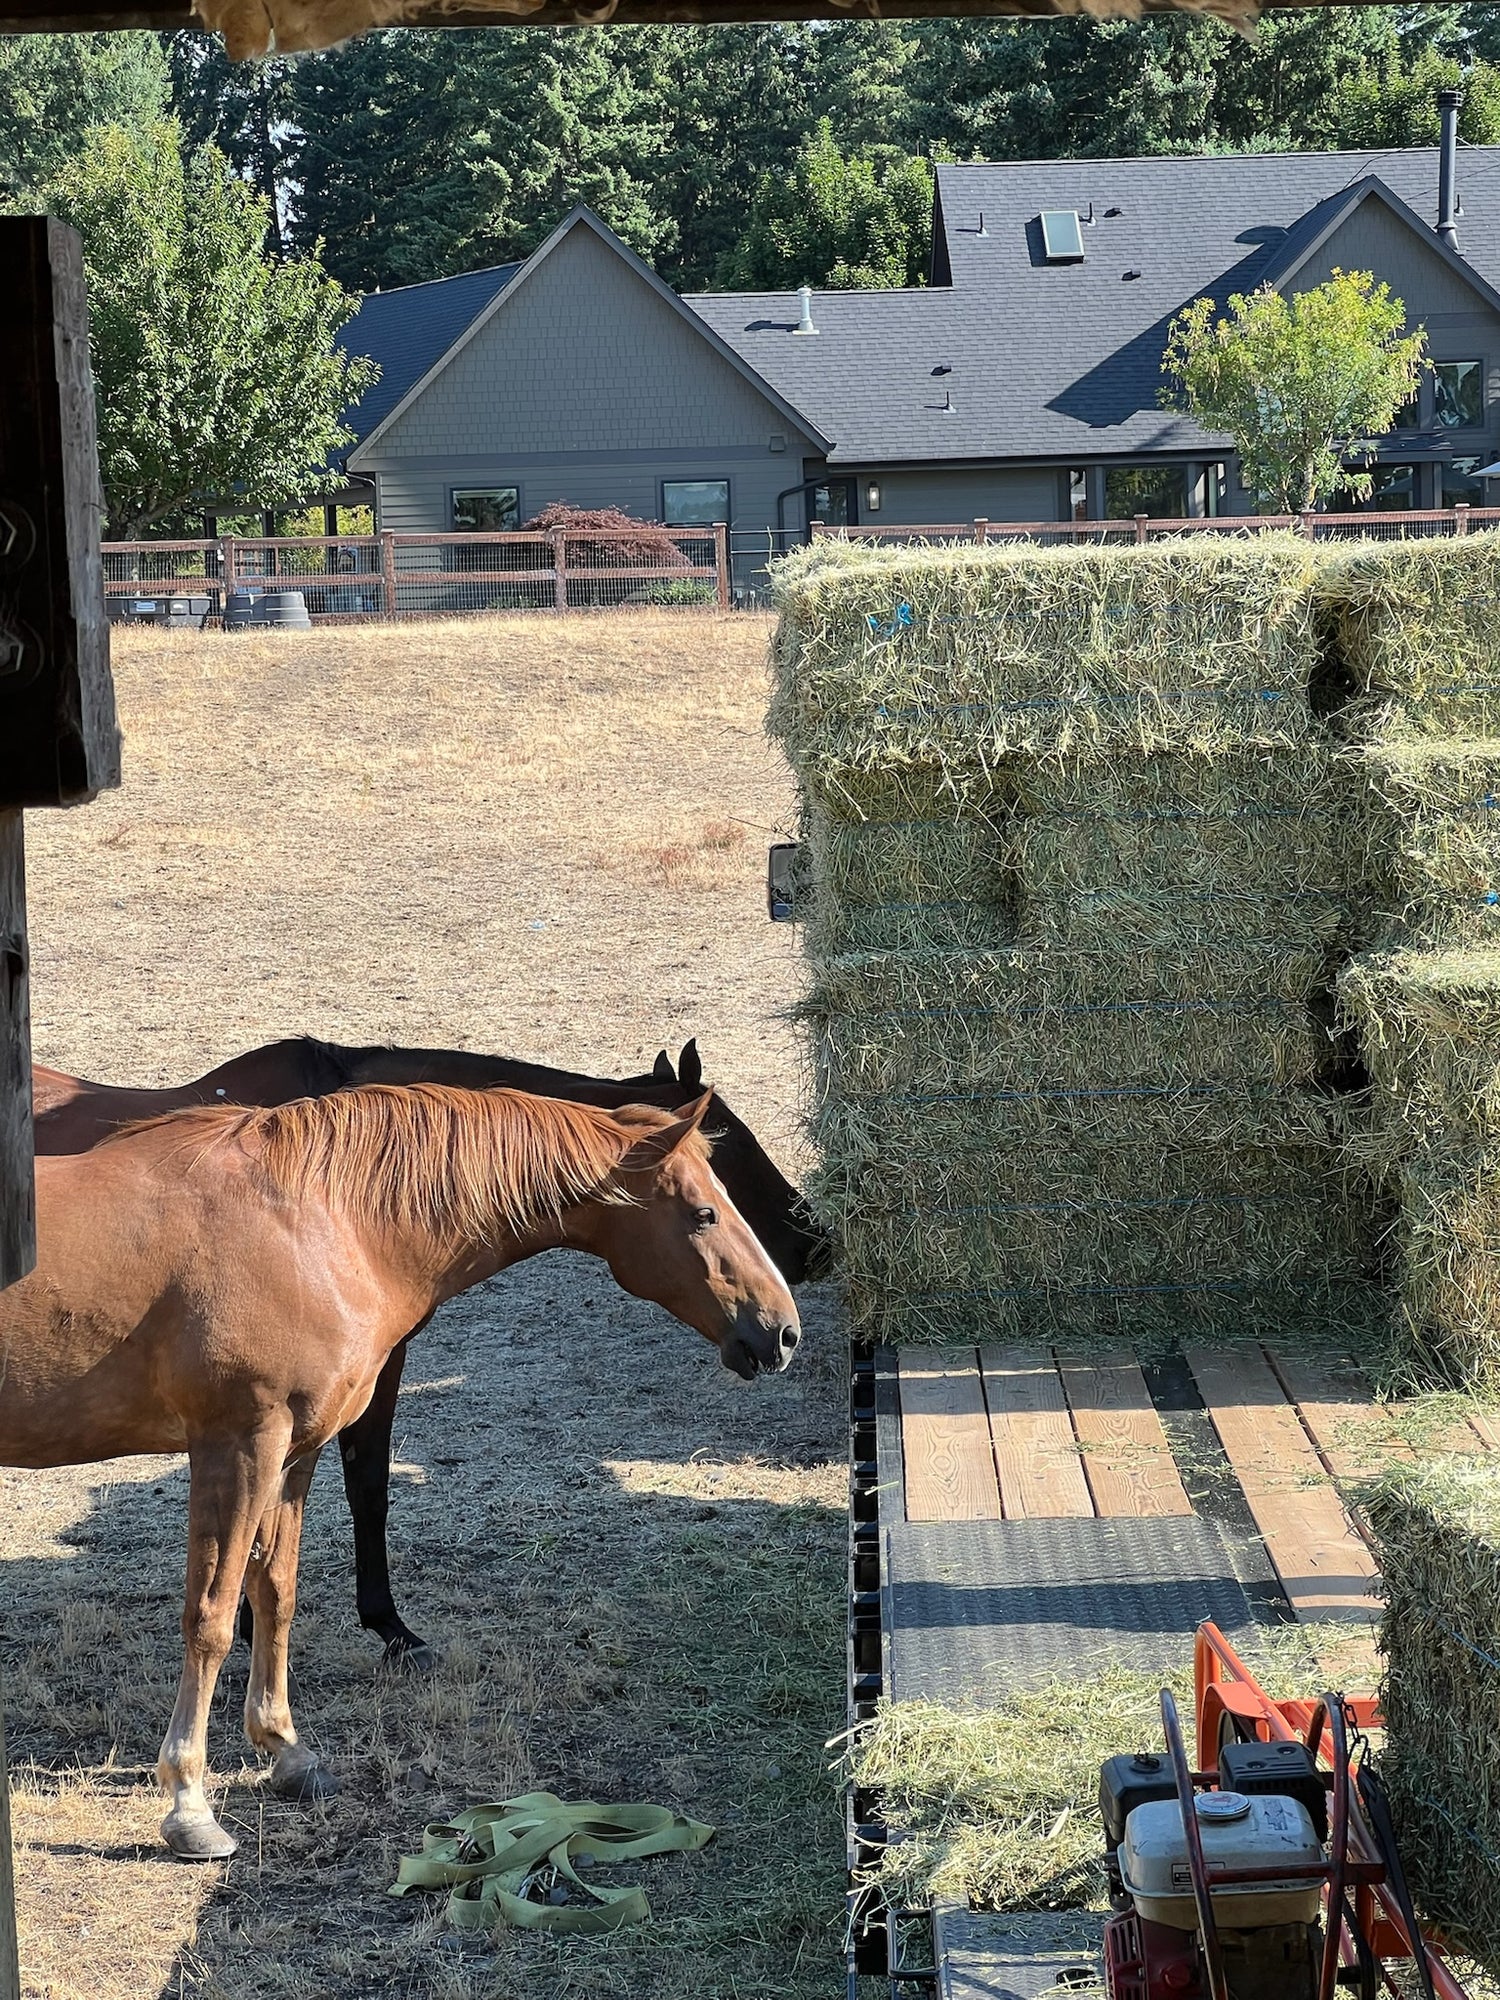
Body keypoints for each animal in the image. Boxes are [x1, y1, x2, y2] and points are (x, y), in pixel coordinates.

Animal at [0, 1083, 799, 1861]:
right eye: (702, 1213)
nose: (782, 1331)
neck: (314, 1225)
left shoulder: (294, 1451)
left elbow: (276, 1595)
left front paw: (285, 1751)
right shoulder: (239, 1445)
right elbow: (213, 1616)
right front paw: (189, 1804)